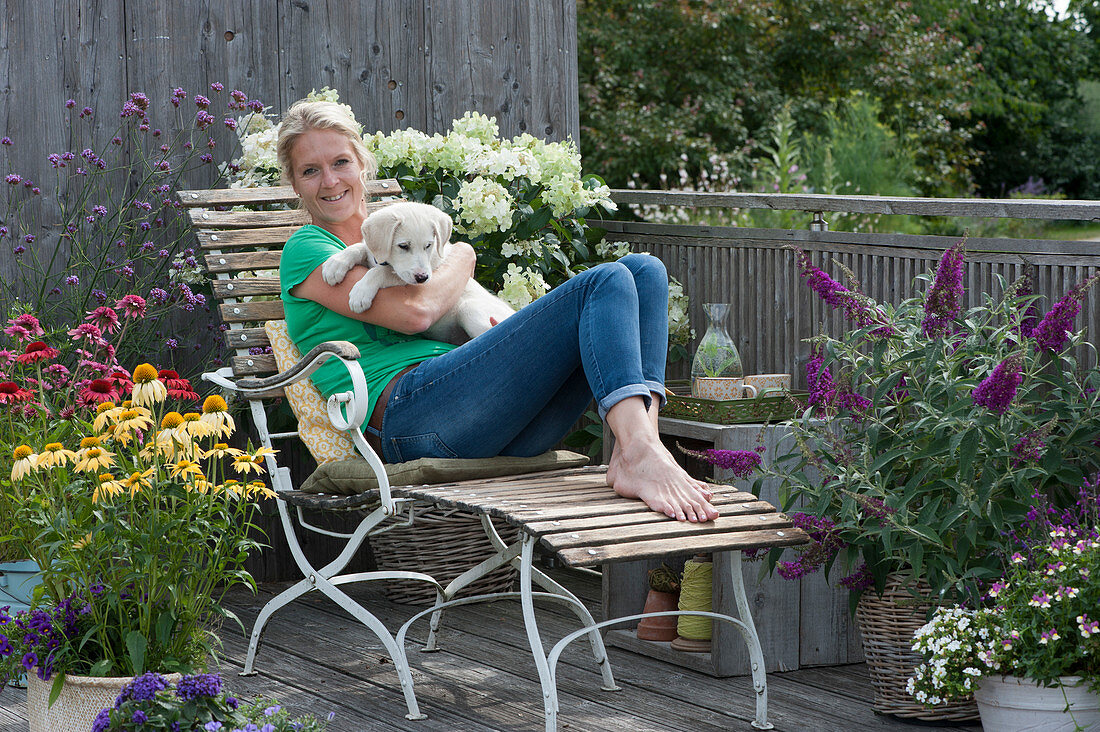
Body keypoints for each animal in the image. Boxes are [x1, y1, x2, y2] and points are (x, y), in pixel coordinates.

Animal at [321, 200, 512, 343]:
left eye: (428, 245)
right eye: (403, 246)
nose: (422, 278)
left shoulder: (417, 277)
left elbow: (382, 272)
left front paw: (361, 292)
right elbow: (359, 248)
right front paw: (336, 263)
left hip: (470, 309)